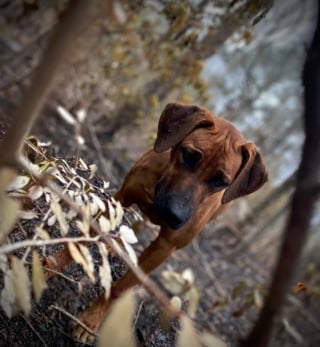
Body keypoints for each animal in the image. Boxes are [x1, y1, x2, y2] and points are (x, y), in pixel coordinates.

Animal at [53, 102, 268, 342]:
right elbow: (81, 241)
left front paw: (91, 320)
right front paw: (49, 266)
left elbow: (121, 287)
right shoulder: (120, 199)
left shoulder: (165, 247)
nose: (174, 214)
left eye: (220, 181)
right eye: (189, 155)